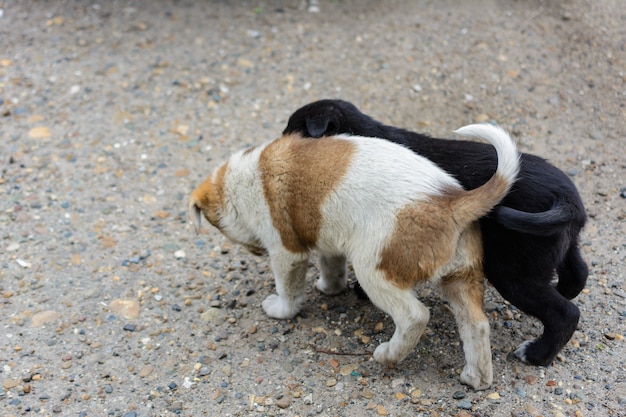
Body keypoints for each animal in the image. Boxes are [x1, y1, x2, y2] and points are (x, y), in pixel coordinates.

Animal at [189, 122, 516, 386]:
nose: (254, 251)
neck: (241, 182)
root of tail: (452, 202)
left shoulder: (286, 252)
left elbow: (288, 289)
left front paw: (281, 310)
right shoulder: (327, 239)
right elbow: (332, 267)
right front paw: (329, 288)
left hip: (374, 270)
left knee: (415, 316)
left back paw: (388, 354)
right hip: (461, 276)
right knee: (476, 325)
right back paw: (476, 379)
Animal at [282, 97, 584, 364]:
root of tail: (567, 199)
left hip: (513, 272)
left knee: (566, 313)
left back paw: (535, 355)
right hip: (561, 250)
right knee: (577, 277)